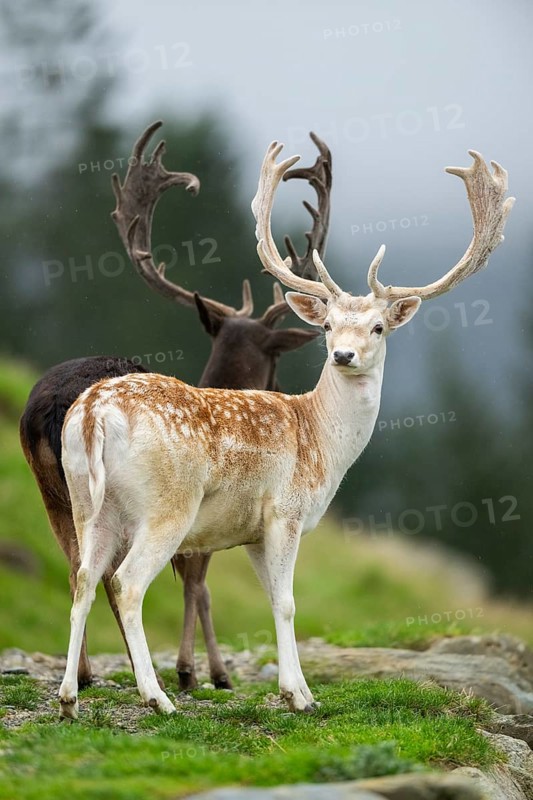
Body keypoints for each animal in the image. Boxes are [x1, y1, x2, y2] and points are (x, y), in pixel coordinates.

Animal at [57, 139, 514, 719]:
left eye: (377, 327)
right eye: (327, 326)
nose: (343, 354)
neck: (321, 441)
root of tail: (94, 413)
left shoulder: (252, 529)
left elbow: (274, 597)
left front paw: (297, 689)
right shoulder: (287, 511)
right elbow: (290, 601)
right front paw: (300, 696)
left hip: (87, 501)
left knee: (82, 578)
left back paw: (69, 699)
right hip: (166, 506)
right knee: (127, 583)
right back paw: (158, 698)